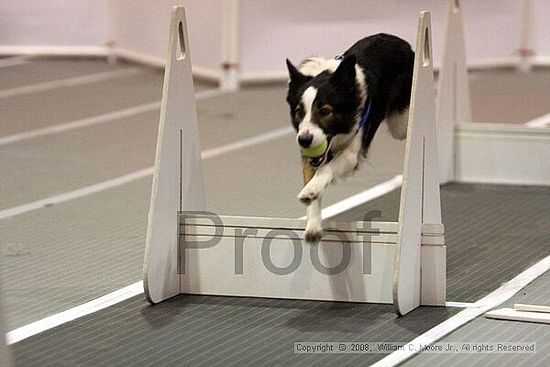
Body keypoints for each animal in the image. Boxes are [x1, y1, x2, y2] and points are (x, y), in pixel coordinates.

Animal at [288, 33, 414, 243]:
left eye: (325, 111)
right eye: (299, 111)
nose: (304, 140)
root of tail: (399, 40)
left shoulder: (353, 152)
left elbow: (328, 168)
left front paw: (310, 190)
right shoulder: (309, 154)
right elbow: (314, 172)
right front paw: (313, 223)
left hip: (401, 123)